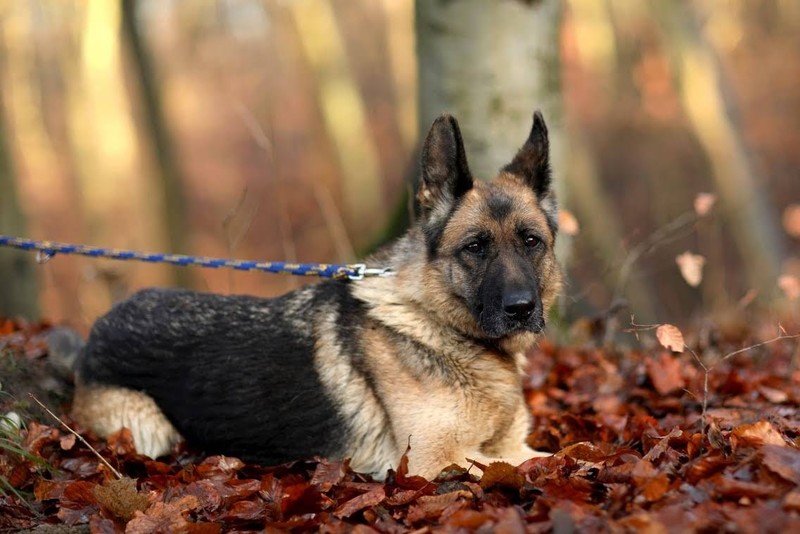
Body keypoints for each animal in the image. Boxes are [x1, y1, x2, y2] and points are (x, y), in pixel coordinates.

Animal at [75, 112, 564, 482]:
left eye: (531, 242)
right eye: (475, 247)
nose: (521, 309)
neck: (434, 320)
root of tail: (97, 328)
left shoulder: (509, 443)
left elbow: (560, 450)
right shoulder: (435, 459)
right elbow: (556, 458)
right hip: (149, 431)